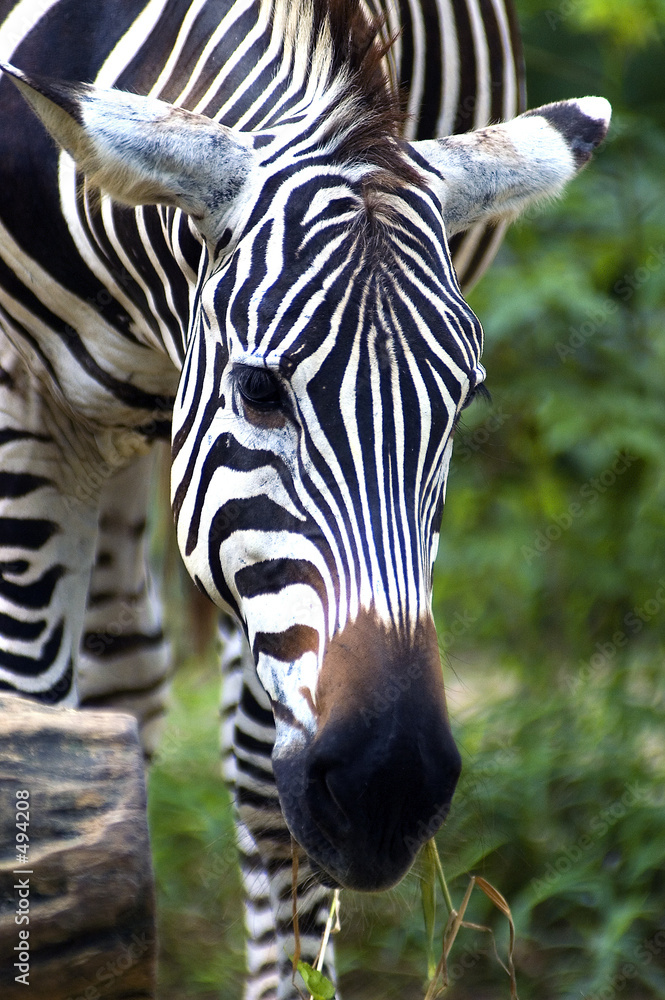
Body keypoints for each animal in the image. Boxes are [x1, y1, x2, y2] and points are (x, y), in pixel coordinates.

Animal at [0, 0, 610, 996]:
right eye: (258, 391)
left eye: (465, 401)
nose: (390, 785)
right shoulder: (28, 401)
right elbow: (30, 731)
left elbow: (269, 808)